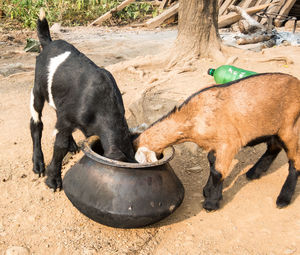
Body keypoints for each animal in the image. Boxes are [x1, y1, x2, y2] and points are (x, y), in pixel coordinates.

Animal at [29, 8, 135, 190]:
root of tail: (48, 43)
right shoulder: (66, 121)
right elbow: (59, 146)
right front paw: (53, 180)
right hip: (38, 90)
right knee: (36, 123)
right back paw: (38, 163)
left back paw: (72, 145)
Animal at [135, 73, 300, 211]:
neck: (194, 116)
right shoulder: (214, 145)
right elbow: (212, 162)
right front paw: (208, 190)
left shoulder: (229, 143)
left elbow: (217, 171)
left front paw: (211, 203)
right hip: (276, 129)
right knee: (274, 146)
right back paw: (254, 172)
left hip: (291, 127)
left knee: (294, 161)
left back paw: (283, 199)